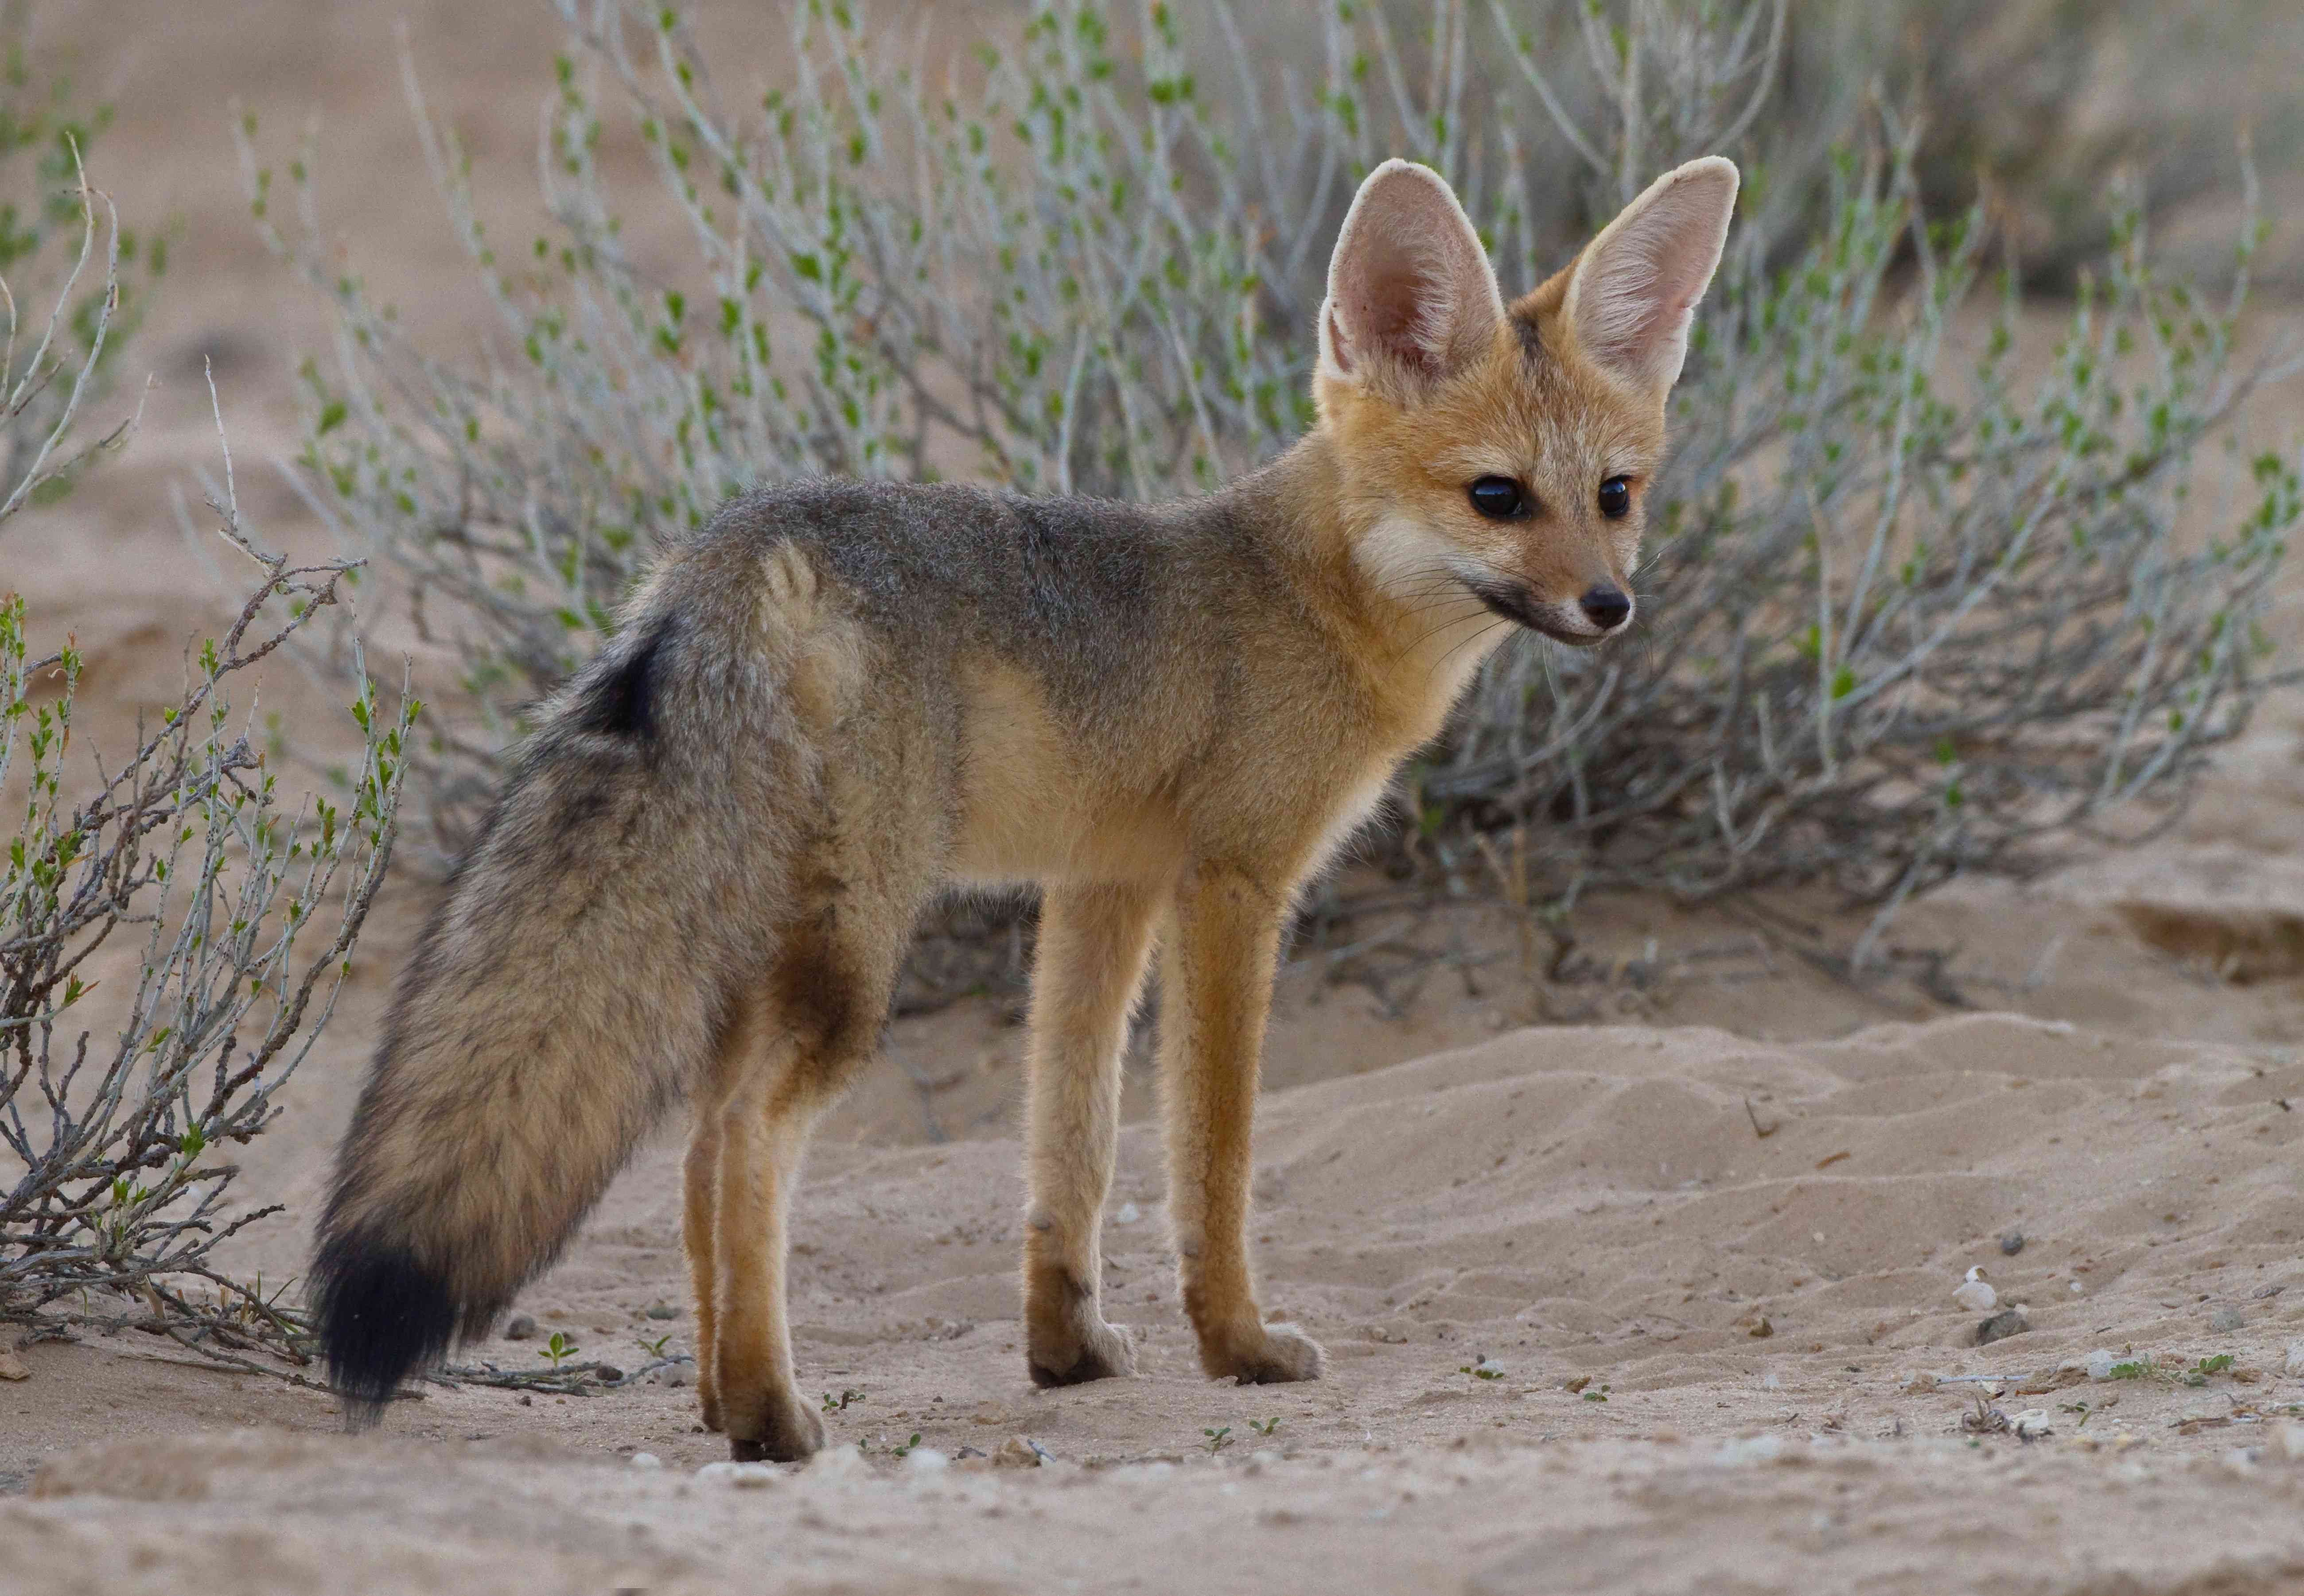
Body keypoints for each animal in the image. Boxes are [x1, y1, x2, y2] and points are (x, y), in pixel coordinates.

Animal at [315, 152, 1732, 1455]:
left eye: (1614, 495)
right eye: (1497, 496)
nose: (1609, 605)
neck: (1307, 593)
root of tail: (735, 544)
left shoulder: (1101, 885)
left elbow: (1074, 1133)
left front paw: (1066, 1346)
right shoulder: (1234, 886)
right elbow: (1211, 1153)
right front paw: (1237, 1342)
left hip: (772, 945)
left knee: (705, 1146)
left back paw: (719, 1392)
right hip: (857, 962)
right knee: (749, 1141)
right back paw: (771, 1413)